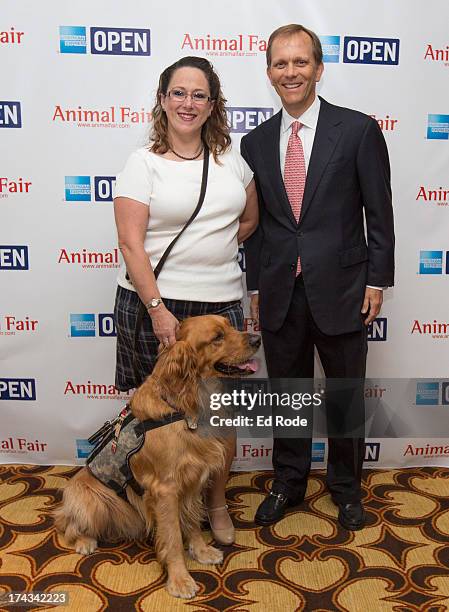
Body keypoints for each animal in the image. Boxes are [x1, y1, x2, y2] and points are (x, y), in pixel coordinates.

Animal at [53, 316, 260, 596]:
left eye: (229, 325)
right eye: (217, 337)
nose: (257, 339)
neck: (186, 406)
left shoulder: (193, 478)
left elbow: (192, 521)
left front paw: (201, 551)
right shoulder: (165, 489)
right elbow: (172, 537)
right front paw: (180, 579)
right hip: (93, 499)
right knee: (69, 525)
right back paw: (85, 541)